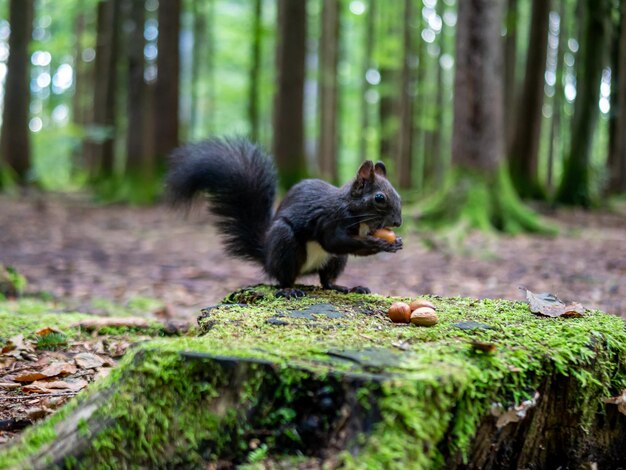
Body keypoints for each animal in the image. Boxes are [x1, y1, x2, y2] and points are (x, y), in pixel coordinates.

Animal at [165, 137, 400, 298]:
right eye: (379, 198)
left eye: (398, 194)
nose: (398, 222)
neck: (357, 218)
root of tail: (266, 256)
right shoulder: (328, 220)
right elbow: (335, 241)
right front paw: (377, 243)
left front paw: (395, 242)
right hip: (284, 243)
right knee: (284, 278)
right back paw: (289, 290)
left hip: (335, 260)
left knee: (326, 280)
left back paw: (346, 287)